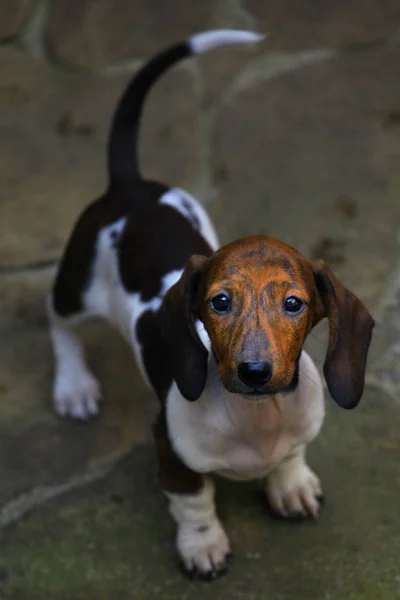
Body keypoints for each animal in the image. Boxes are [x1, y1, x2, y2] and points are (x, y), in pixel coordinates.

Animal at [47, 29, 376, 580]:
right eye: (219, 302)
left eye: (294, 303)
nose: (255, 371)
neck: (257, 414)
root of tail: (130, 187)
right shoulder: (172, 452)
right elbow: (194, 502)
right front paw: (203, 545)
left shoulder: (297, 429)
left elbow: (292, 455)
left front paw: (290, 485)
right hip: (77, 282)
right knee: (59, 323)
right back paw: (74, 386)